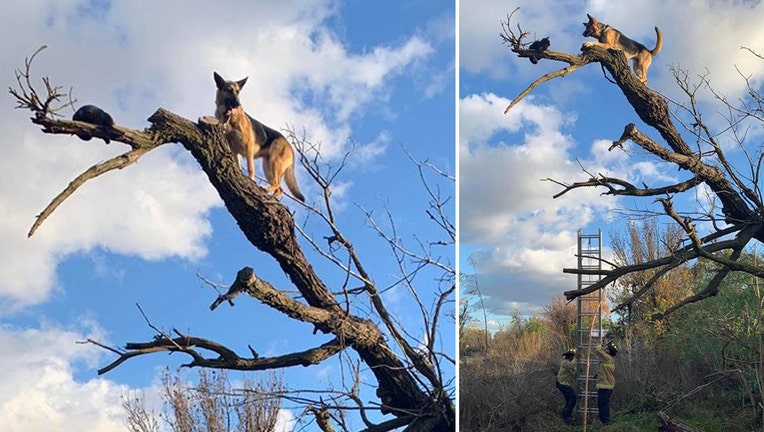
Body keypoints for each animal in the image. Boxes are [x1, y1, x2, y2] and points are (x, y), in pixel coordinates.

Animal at [213, 72, 306, 202]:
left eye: (238, 92)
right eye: (229, 90)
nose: (238, 104)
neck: (229, 117)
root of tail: (289, 145)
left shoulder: (248, 146)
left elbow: (250, 168)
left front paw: (251, 180)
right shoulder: (233, 150)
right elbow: (238, 167)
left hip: (274, 163)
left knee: (278, 185)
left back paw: (266, 191)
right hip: (267, 167)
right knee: (280, 189)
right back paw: (272, 197)